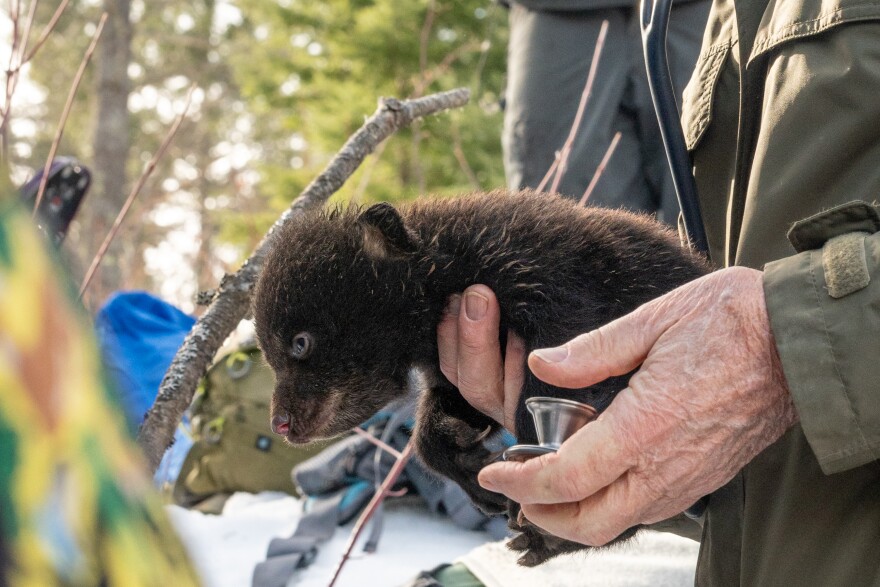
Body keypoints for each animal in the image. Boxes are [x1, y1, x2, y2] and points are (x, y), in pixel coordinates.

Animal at [252, 188, 711, 565]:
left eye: (300, 342)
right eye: (269, 354)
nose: (280, 423)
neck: (448, 272)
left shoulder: (554, 284)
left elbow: (559, 369)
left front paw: (540, 487)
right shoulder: (453, 361)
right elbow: (439, 425)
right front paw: (472, 469)